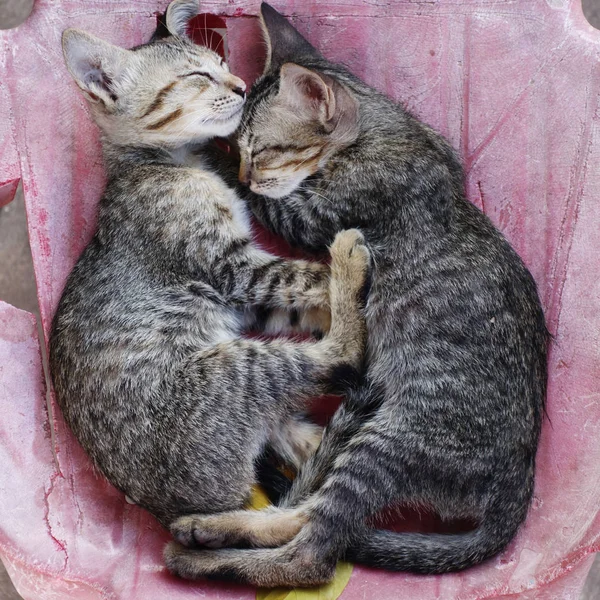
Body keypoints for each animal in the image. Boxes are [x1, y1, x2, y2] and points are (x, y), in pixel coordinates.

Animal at [50, 0, 370, 532]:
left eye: (222, 63)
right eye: (197, 76)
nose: (240, 85)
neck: (178, 162)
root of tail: (169, 508)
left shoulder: (243, 300)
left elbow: (298, 299)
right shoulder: (233, 269)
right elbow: (306, 276)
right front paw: (338, 276)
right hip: (231, 369)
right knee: (338, 356)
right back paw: (348, 266)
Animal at [165, 2, 548, 588]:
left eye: (263, 151)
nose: (248, 171)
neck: (385, 131)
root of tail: (519, 482)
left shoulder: (319, 211)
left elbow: (277, 203)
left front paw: (212, 147)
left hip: (391, 441)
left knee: (312, 555)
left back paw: (207, 557)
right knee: (304, 514)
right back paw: (209, 529)